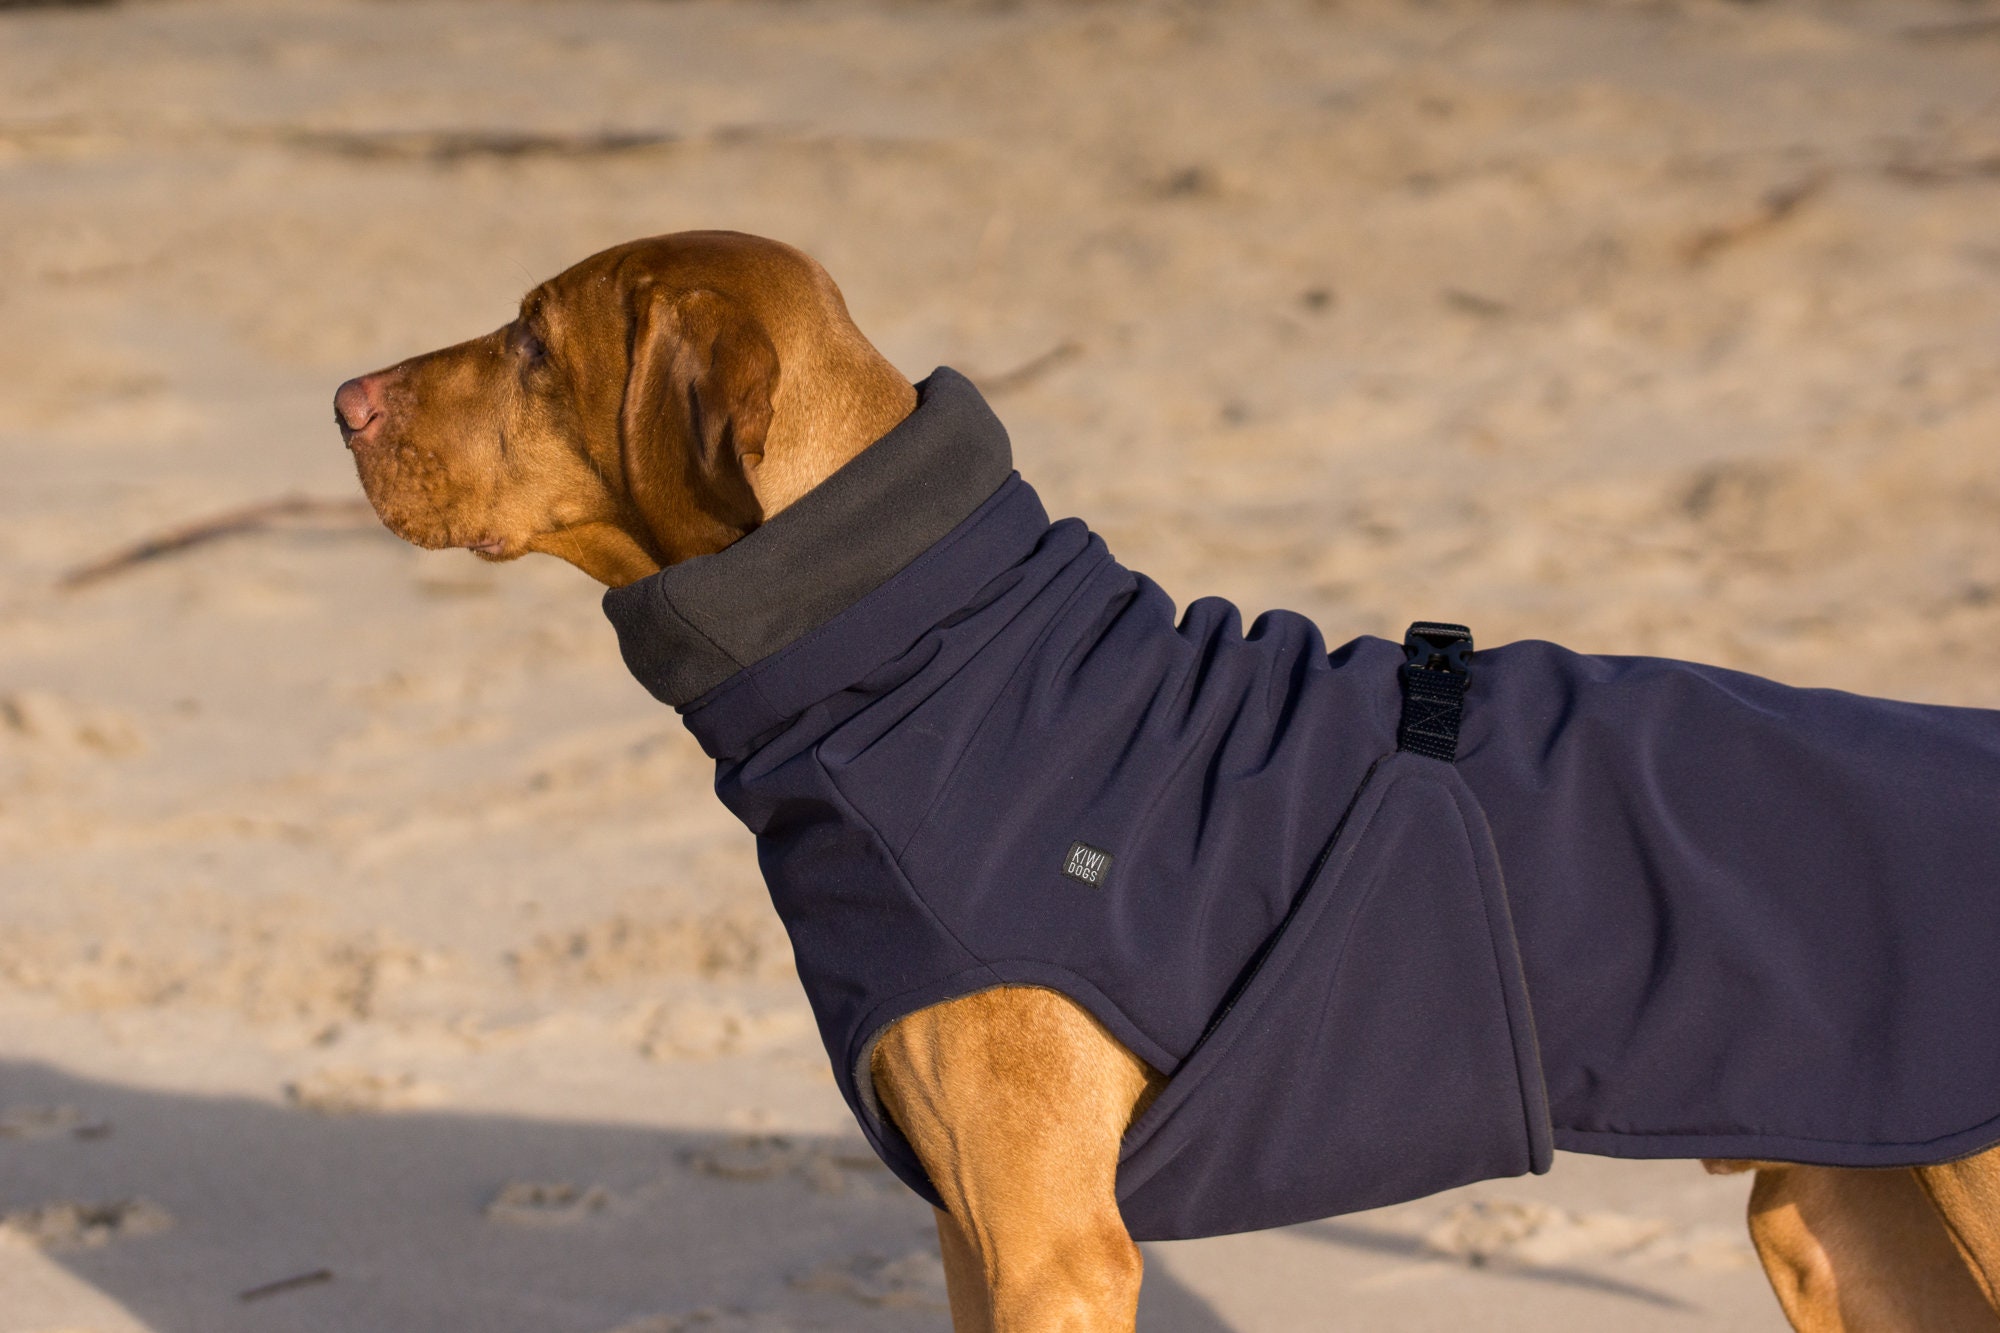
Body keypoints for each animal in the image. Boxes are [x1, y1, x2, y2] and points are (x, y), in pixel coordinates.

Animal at [340, 231, 2000, 1328]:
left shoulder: (1052, 1245)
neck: (930, 650)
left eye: (532, 343)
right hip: (1844, 1223)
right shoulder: (977, 1234)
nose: (343, 400)